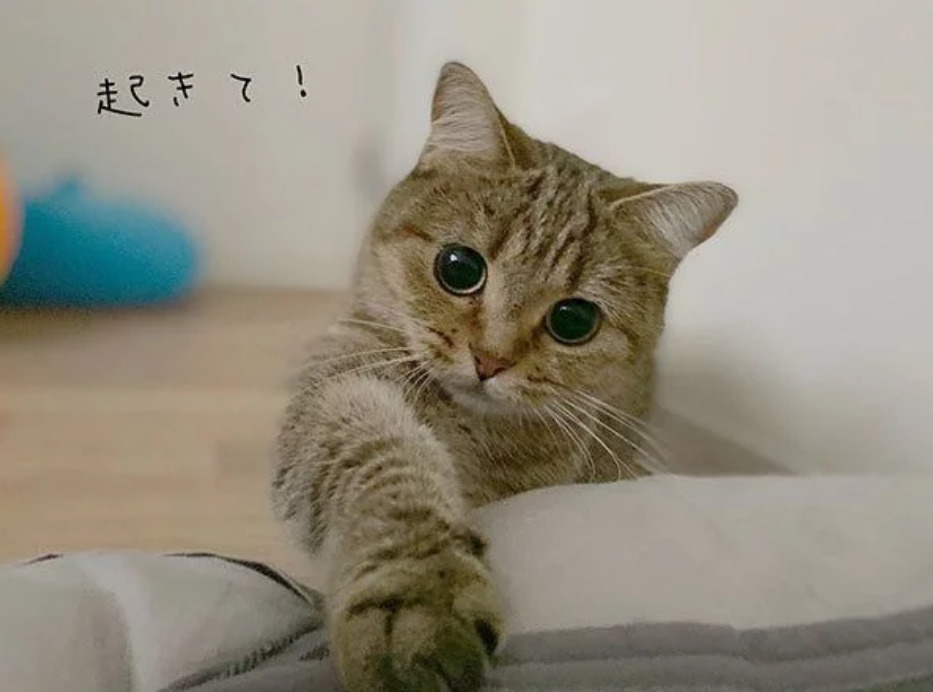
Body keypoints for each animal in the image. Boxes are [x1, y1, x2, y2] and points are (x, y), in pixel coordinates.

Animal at [272, 61, 737, 692]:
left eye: (574, 320)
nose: (490, 361)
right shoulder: (342, 388)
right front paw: (418, 589)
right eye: (458, 267)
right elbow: (384, 464)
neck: (465, 429)